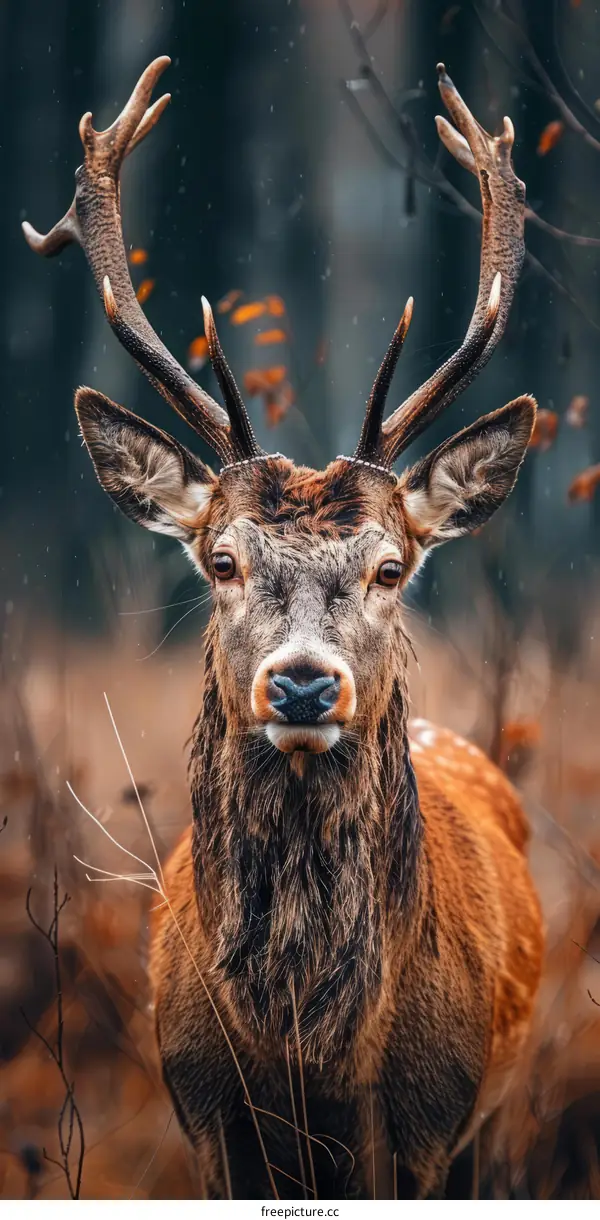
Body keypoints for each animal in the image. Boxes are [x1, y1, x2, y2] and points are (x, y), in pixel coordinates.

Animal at [23, 57, 544, 1199]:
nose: (303, 684)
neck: (311, 1059)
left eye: (392, 567)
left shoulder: (430, 1124)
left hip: (495, 1118)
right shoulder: (205, 1112)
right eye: (222, 560)